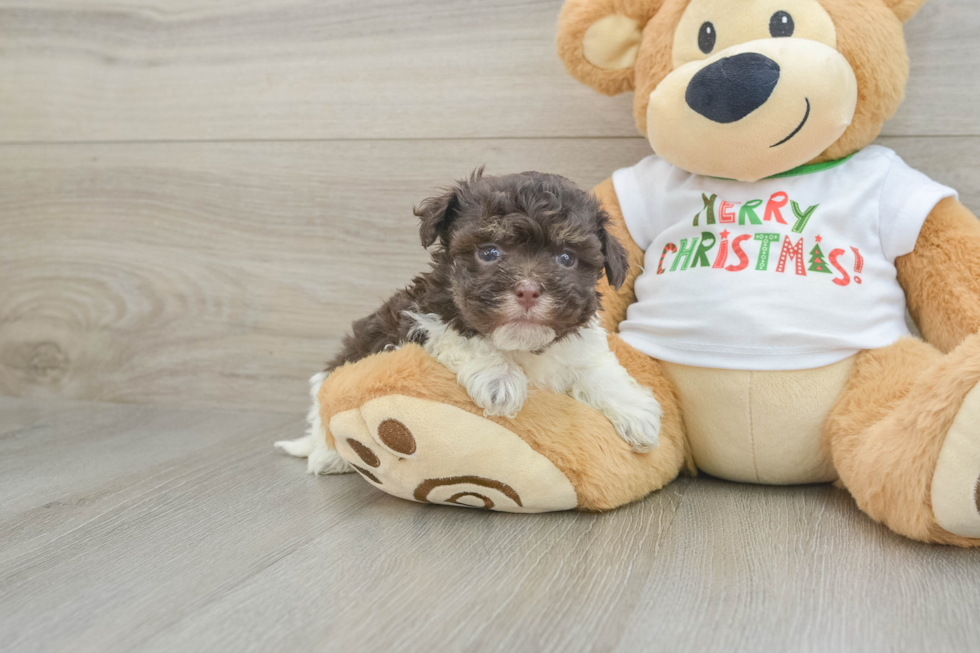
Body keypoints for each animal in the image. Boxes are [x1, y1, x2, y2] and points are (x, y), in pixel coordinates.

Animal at [272, 168, 664, 474]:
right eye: (489, 252)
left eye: (566, 258)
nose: (528, 290)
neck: (521, 346)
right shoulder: (419, 317)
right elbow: (462, 334)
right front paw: (500, 380)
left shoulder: (579, 346)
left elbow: (599, 370)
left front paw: (636, 413)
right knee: (321, 418)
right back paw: (328, 457)